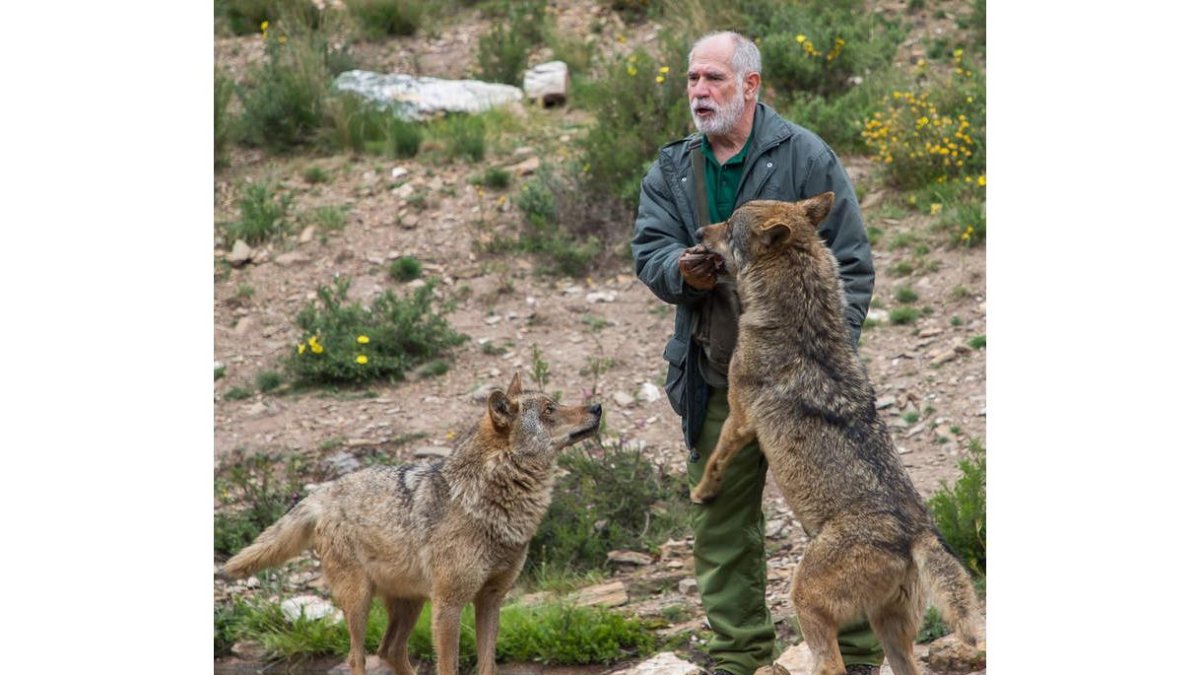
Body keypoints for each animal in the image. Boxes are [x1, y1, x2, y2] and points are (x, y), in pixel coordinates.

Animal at [222, 373, 602, 675]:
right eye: (550, 409)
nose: (598, 406)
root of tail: (324, 491)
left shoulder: (491, 599)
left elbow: (488, 666)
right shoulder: (448, 604)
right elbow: (448, 667)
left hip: (410, 603)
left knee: (389, 650)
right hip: (360, 603)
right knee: (357, 657)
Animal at [688, 193, 984, 675]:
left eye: (728, 225)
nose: (697, 231)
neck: (799, 314)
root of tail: (915, 533)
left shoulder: (740, 416)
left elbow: (715, 459)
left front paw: (701, 493)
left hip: (805, 597)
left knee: (830, 665)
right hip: (890, 630)